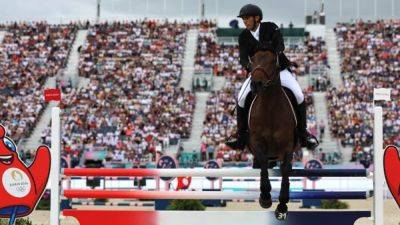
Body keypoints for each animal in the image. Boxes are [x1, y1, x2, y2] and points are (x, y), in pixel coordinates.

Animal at [248, 48, 302, 220]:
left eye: (273, 61)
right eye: (252, 60)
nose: (256, 84)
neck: (270, 108)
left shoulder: (287, 147)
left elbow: (284, 171)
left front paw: (282, 205)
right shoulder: (257, 142)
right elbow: (264, 165)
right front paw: (265, 197)